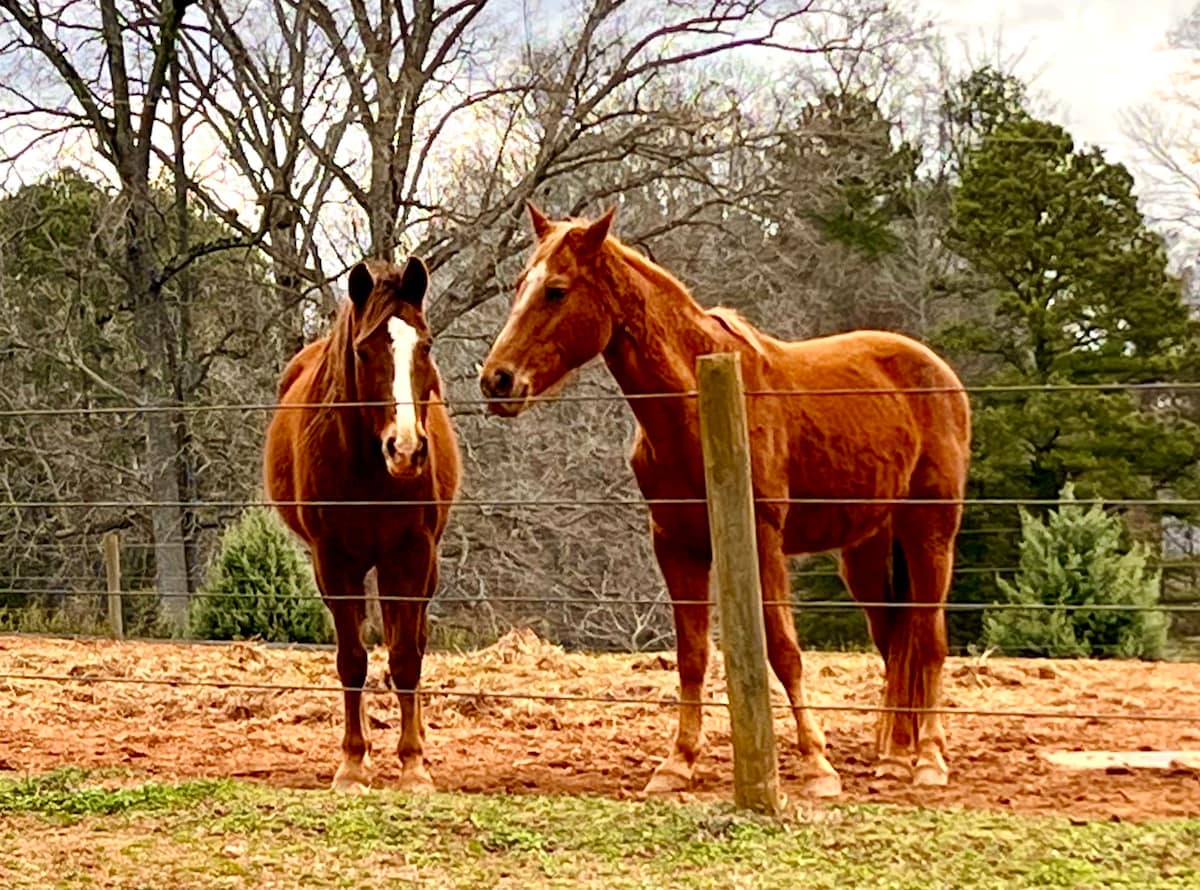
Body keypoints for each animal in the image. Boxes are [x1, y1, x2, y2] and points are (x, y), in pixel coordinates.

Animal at [264, 257, 458, 796]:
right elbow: (352, 659)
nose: (407, 449)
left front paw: (413, 765)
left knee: (411, 642)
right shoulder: (333, 560)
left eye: (425, 345)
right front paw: (352, 763)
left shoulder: (412, 554)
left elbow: (406, 657)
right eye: (364, 350)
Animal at [477, 205, 964, 796]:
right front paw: (676, 764)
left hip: (931, 534)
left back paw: (929, 760)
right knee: (895, 639)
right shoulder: (678, 547)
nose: (497, 381)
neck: (693, 406)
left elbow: (784, 651)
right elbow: (691, 656)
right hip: (866, 553)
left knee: (929, 639)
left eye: (556, 290)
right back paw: (893, 755)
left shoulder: (762, 541)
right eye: (520, 283)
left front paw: (816, 765)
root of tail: (939, 372)